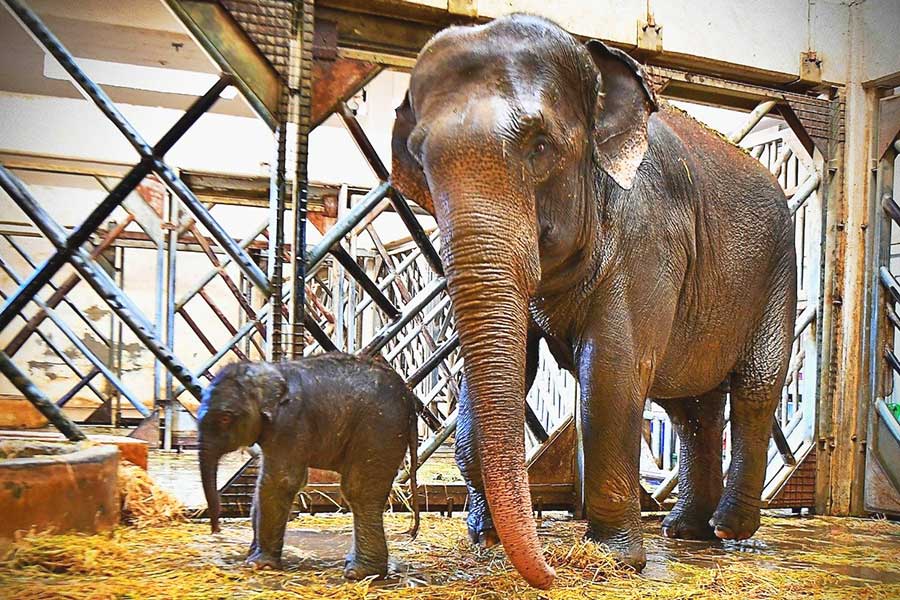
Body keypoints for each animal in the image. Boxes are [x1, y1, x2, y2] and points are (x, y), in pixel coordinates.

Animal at [197, 353, 420, 580]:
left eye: (225, 418)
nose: (216, 530)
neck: (270, 371)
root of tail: (409, 400)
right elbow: (266, 483)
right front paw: (253, 557)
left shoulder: (290, 423)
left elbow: (279, 482)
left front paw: (258, 565)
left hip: (379, 430)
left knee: (359, 492)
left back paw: (359, 573)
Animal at [390, 14, 796, 589]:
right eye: (421, 162)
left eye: (539, 146)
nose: (549, 574)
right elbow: (511, 366)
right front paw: (483, 539)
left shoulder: (649, 232)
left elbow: (612, 369)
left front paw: (613, 559)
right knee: (690, 408)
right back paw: (685, 530)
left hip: (779, 270)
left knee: (754, 389)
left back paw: (727, 529)